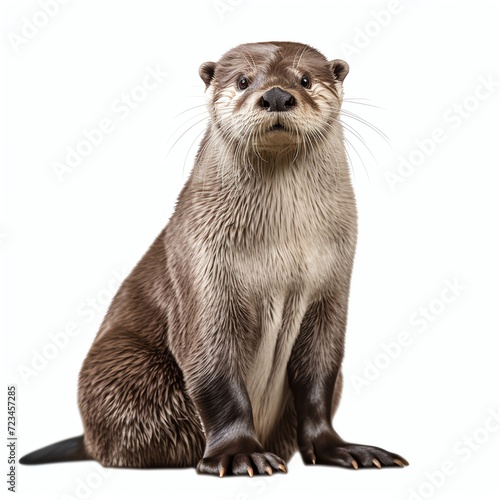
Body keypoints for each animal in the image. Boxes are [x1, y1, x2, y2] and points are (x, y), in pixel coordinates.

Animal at [21, 41, 408, 474]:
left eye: (305, 79)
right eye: (242, 80)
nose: (277, 95)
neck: (281, 253)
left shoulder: (332, 288)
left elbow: (319, 377)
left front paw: (340, 449)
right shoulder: (204, 277)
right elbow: (215, 375)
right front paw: (240, 453)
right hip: (122, 365)